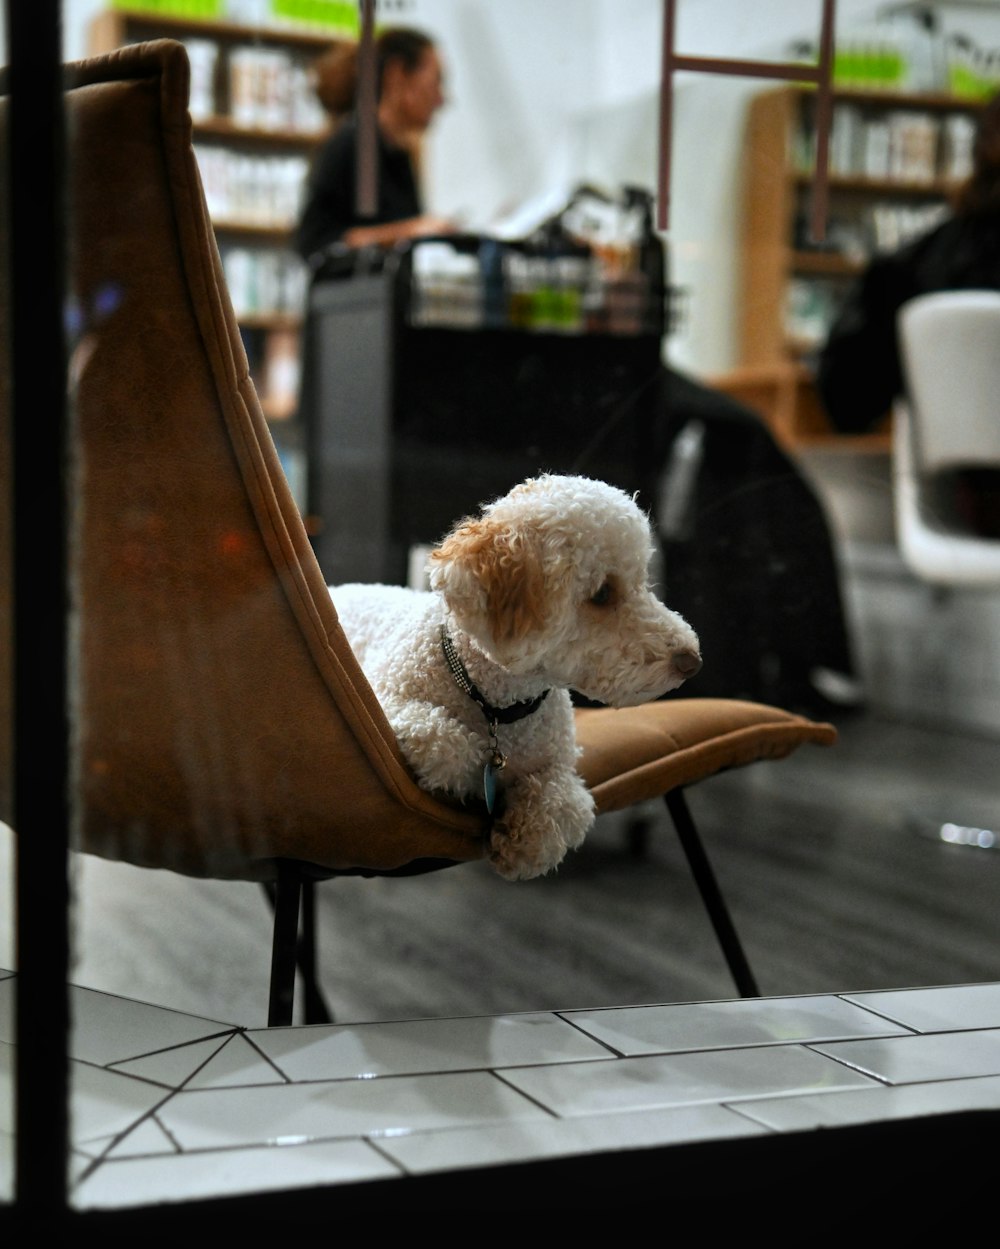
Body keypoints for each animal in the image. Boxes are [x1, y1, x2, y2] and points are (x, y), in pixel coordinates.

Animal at [332, 469, 699, 879]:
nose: (691, 660)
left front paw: (525, 840)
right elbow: (443, 738)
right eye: (603, 593)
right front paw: (463, 771)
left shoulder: (561, 766)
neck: (498, 707)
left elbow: (564, 803)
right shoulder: (382, 702)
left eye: (643, 582)